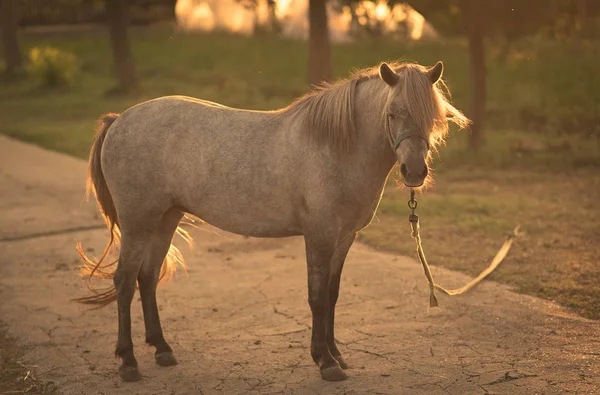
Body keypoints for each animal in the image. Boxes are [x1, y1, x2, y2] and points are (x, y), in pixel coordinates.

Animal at [74, 61, 468, 384]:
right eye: (393, 113)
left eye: (433, 116)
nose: (414, 172)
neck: (336, 146)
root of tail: (119, 120)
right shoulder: (319, 236)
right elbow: (316, 297)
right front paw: (325, 363)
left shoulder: (343, 239)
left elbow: (332, 295)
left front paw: (336, 354)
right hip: (138, 222)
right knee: (125, 282)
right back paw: (128, 363)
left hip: (165, 218)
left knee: (148, 278)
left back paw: (162, 350)